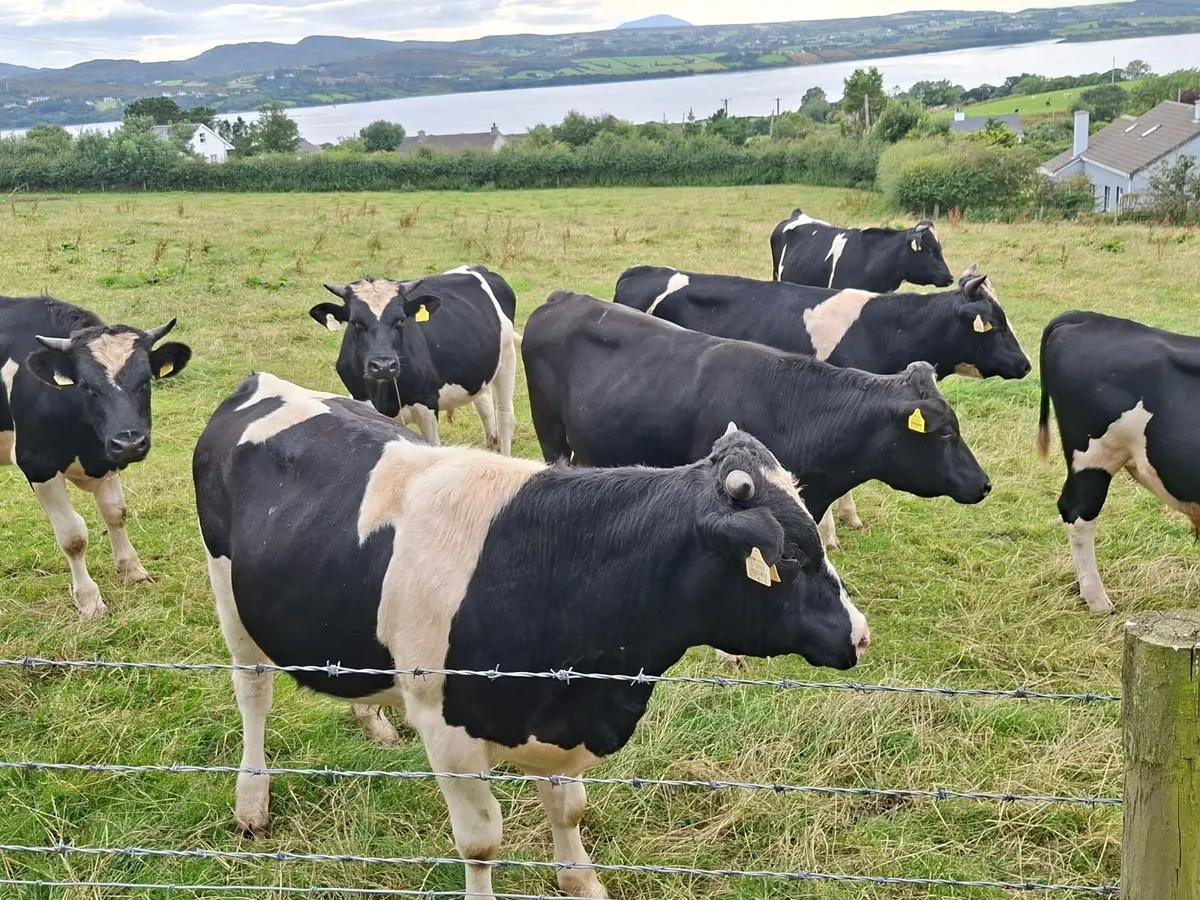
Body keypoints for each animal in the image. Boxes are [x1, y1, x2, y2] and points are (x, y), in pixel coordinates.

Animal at [1, 295, 191, 618]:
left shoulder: (109, 456)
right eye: (86, 386)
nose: (130, 442)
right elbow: (73, 536)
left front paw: (132, 570)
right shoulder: (37, 464)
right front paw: (90, 601)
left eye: (145, 381)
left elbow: (115, 513)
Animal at [193, 371, 869, 900]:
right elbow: (481, 843)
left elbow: (569, 807)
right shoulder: (446, 730)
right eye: (794, 559)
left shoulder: (564, 709)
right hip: (230, 597)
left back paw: (372, 723)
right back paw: (251, 801)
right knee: (253, 692)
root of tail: (262, 383)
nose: (860, 636)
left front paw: (582, 881)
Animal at [309, 265, 519, 455]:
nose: (384, 366)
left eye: (401, 320)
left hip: (508, 358)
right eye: (355, 323)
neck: (385, 396)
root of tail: (477, 268)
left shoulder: (427, 405)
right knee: (484, 404)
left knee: (504, 416)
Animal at [613, 264, 1029, 548]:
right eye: (994, 323)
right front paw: (831, 533)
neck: (883, 329)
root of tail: (643, 270)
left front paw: (850, 517)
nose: (1026, 364)